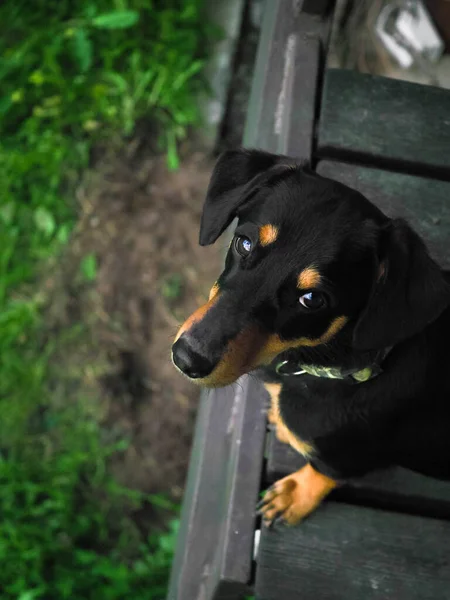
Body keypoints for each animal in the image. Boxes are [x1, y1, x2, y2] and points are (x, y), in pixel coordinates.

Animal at [171, 149, 450, 524]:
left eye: (313, 299)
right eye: (244, 243)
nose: (186, 358)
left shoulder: (345, 458)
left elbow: (322, 473)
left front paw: (291, 496)